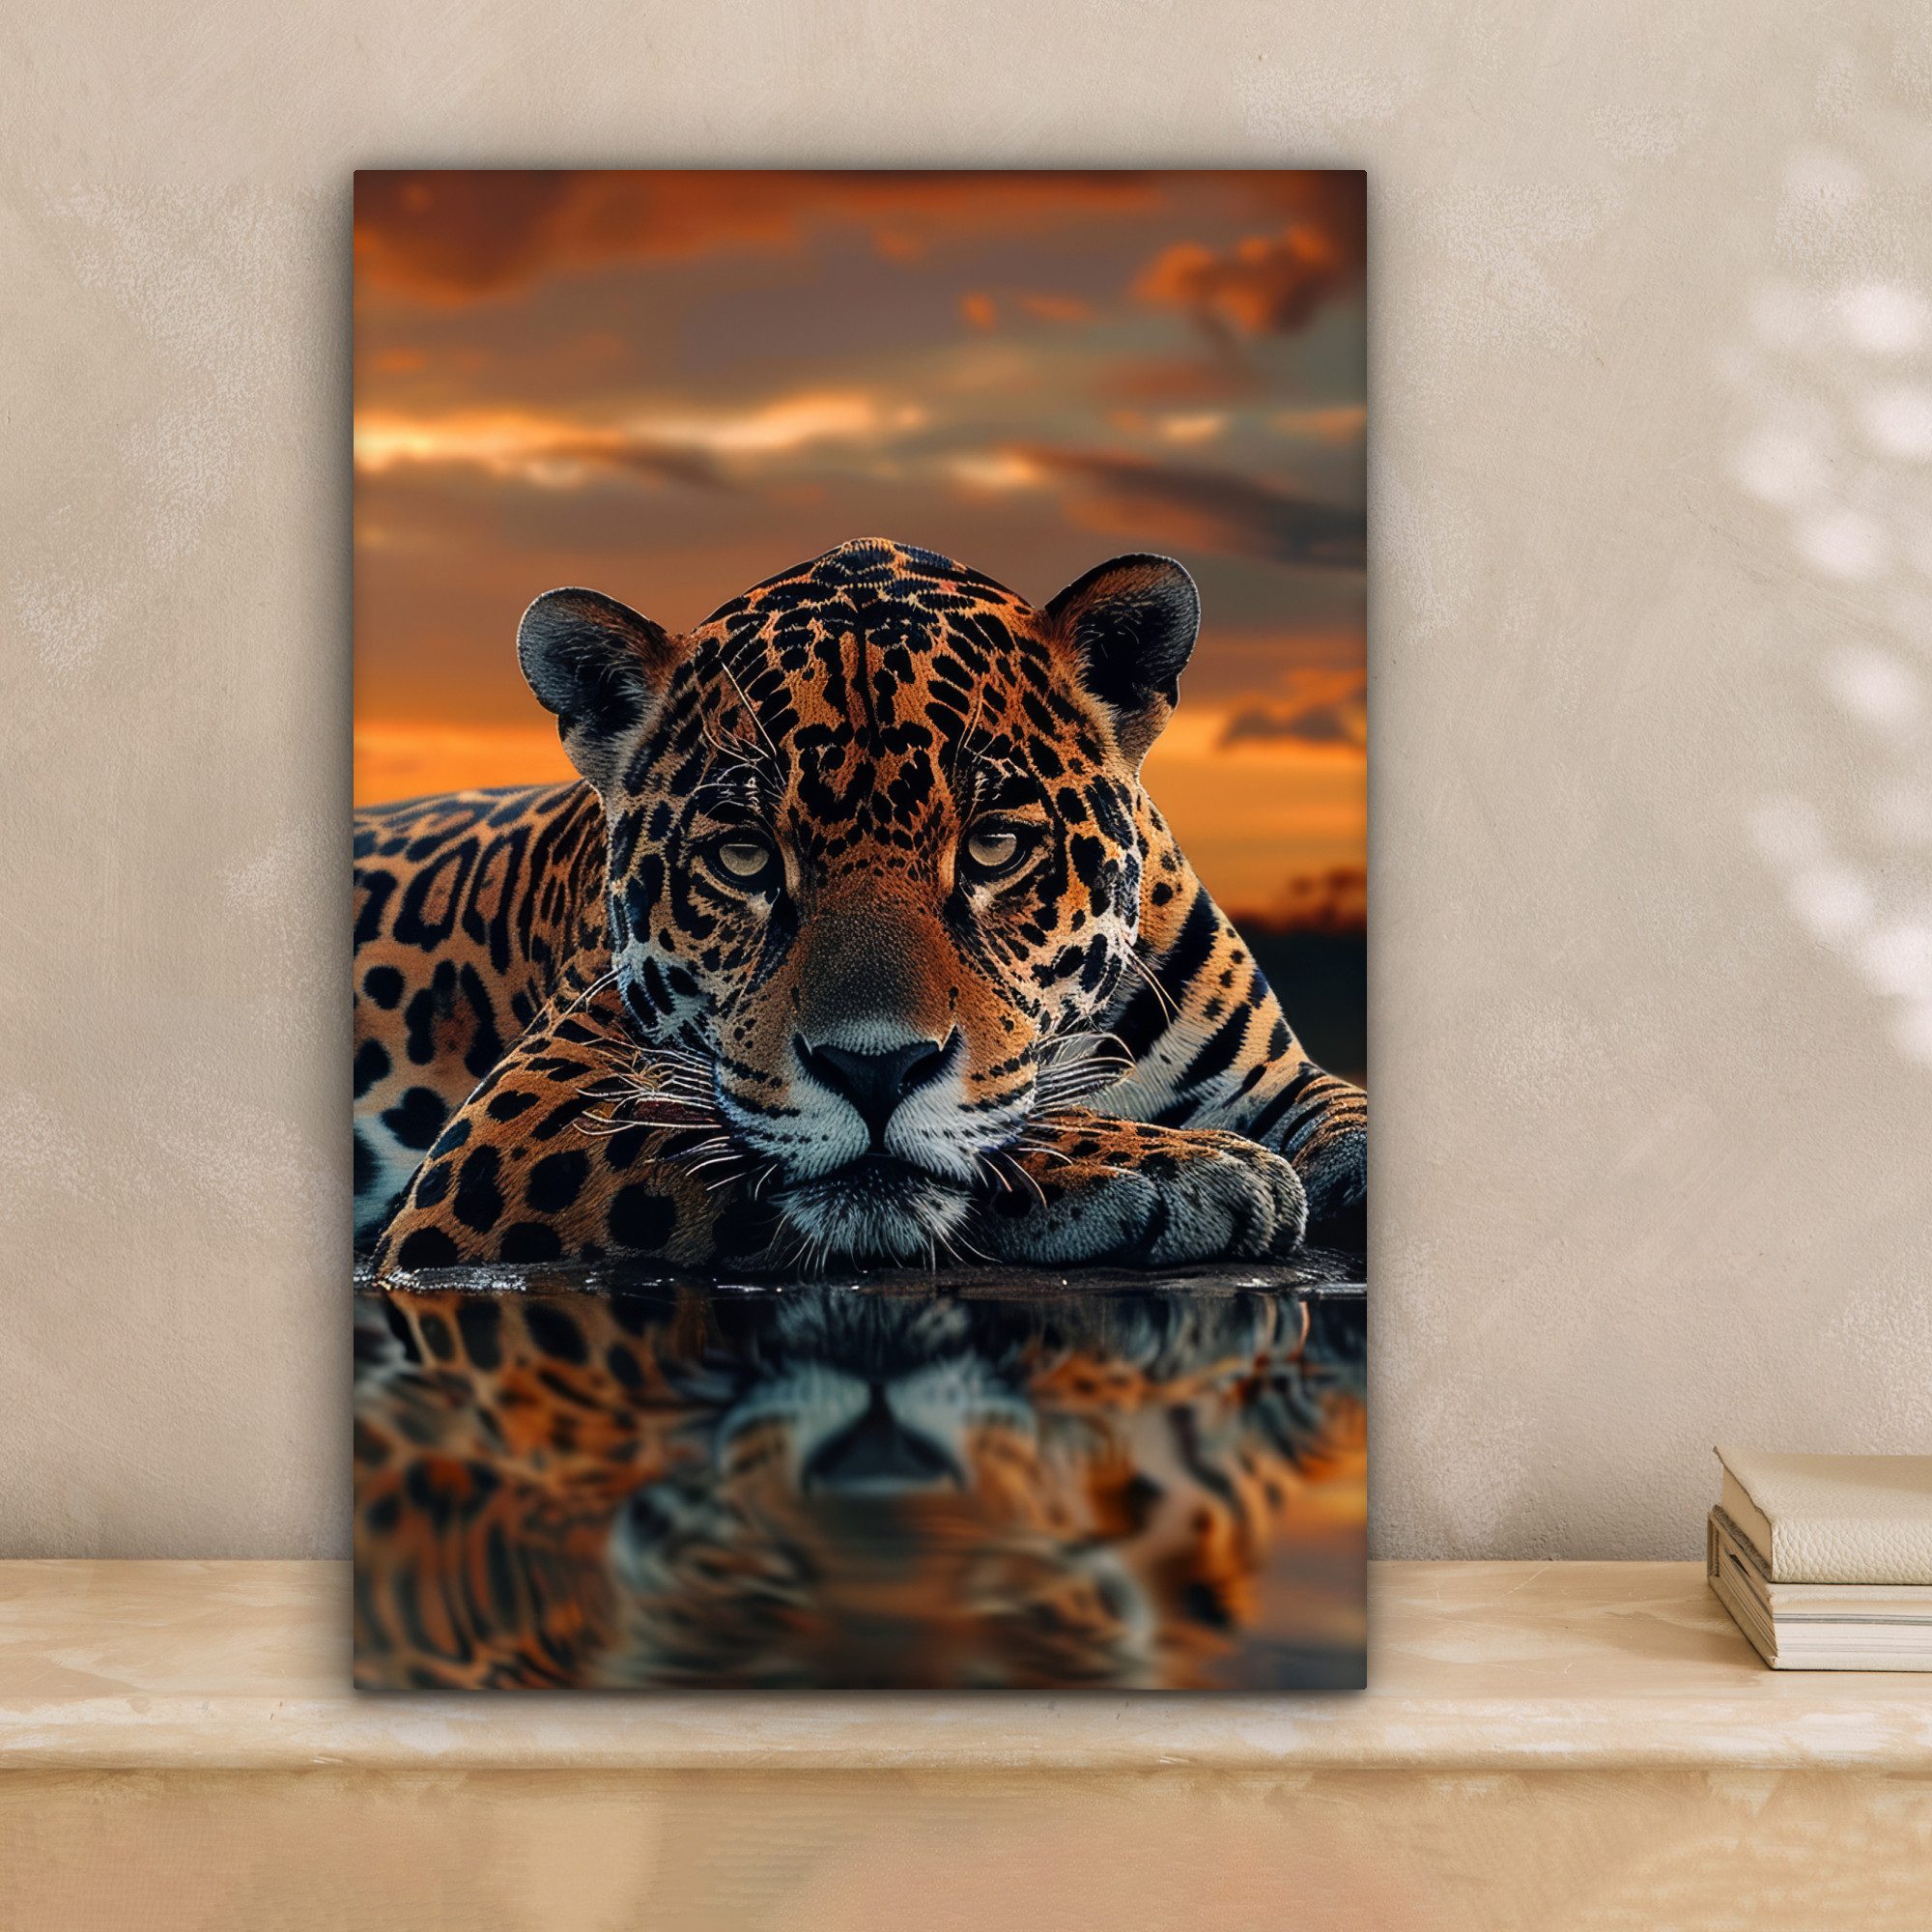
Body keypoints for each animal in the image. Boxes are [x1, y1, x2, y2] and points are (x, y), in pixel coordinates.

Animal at [353, 538, 1366, 1276]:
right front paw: (1172, 1164)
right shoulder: (526, 1112)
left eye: (994, 846)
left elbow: (1344, 1108)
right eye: (745, 857)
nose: (873, 1071)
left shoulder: (1273, 1078)